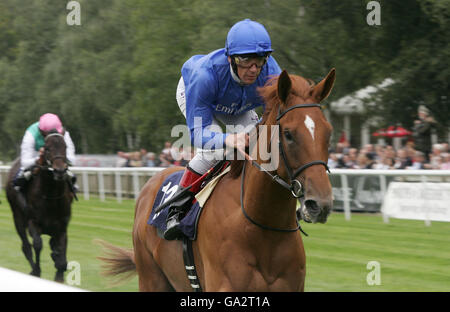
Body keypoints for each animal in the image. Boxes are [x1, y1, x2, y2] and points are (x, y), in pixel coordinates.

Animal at [5, 130, 74, 282]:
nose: (60, 171)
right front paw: (36, 270)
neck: (51, 197)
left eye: (65, 147)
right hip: (17, 218)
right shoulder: (33, 222)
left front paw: (59, 274)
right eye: (47, 148)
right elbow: (37, 244)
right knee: (26, 246)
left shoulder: (62, 227)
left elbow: (62, 254)